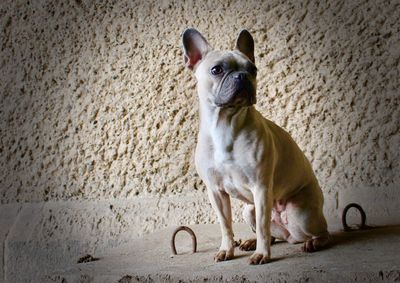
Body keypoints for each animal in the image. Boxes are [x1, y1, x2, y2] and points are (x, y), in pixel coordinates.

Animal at [183, 27, 330, 266]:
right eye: (216, 70)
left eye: (253, 69)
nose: (242, 76)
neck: (225, 124)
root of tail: (291, 236)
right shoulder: (216, 192)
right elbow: (226, 225)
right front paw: (227, 250)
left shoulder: (260, 188)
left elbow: (262, 226)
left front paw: (262, 254)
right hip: (248, 209)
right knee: (272, 233)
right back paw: (252, 242)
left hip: (301, 214)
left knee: (321, 231)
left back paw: (314, 243)